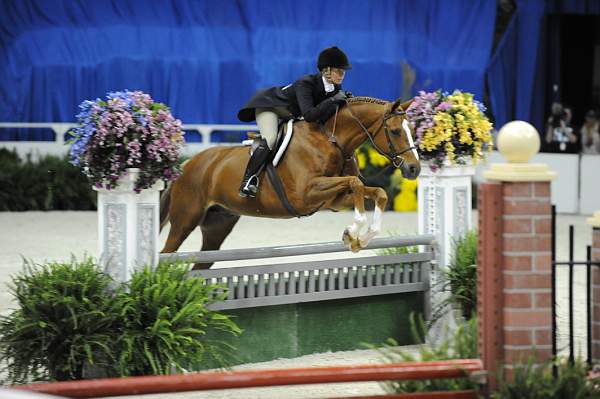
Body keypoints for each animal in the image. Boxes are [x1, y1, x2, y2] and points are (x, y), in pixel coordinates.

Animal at [159, 97, 422, 270]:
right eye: (396, 131)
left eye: (412, 129)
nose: (414, 169)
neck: (332, 141)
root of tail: (185, 166)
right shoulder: (306, 195)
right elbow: (355, 182)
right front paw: (352, 234)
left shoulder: (333, 200)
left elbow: (377, 192)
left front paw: (360, 239)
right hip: (186, 219)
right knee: (166, 254)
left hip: (218, 224)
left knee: (201, 263)